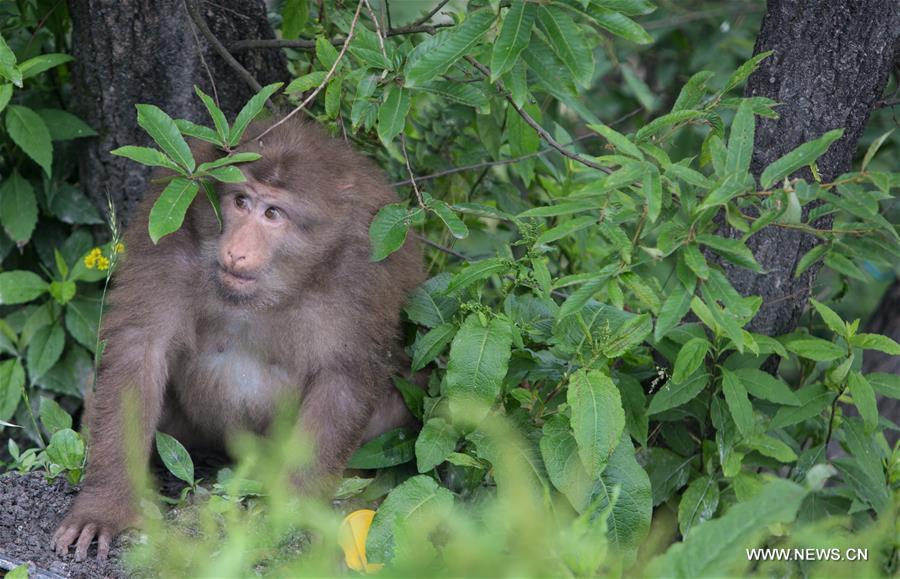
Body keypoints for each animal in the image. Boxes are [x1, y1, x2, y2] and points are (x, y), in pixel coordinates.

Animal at [51, 116, 424, 560]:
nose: (236, 251)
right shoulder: (172, 235)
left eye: (273, 213)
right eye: (241, 202)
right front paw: (105, 505)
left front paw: (287, 517)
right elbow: (139, 348)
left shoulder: (365, 271)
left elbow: (345, 379)